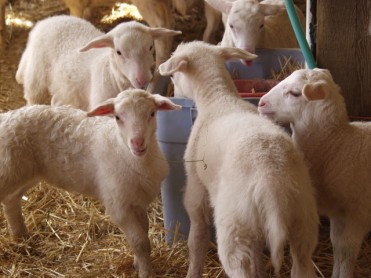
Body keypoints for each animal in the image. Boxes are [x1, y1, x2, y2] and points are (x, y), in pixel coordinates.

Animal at [0, 88, 182, 276]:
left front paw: (138, 264)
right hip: (8, 170)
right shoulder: (119, 206)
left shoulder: (137, 202)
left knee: (11, 201)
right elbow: (140, 242)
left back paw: (20, 236)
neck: (127, 153)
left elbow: (144, 233)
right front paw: (146, 272)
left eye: (152, 113)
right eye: (118, 117)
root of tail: (5, 116)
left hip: (24, 173)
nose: (137, 143)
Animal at [16, 15, 182, 110]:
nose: (142, 79)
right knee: (33, 97)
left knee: (56, 99)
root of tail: (45, 21)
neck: (112, 76)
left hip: (66, 88)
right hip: (36, 76)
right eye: (119, 52)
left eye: (150, 47)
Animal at [158, 40, 318, 278]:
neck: (218, 98)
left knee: (238, 264)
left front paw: (193, 271)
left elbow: (197, 239)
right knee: (301, 263)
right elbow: (257, 255)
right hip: (302, 219)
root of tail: (272, 186)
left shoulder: (195, 187)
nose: (175, 94)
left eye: (173, 76)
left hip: (235, 226)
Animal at [258, 67, 371, 278]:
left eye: (294, 93)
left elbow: (347, 250)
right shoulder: (338, 214)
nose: (261, 103)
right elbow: (337, 245)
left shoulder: (358, 214)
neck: (337, 144)